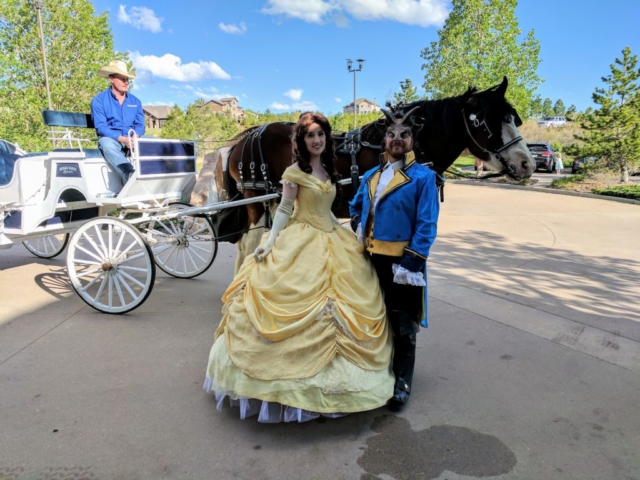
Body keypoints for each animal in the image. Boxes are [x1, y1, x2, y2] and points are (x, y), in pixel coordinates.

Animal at [216, 76, 535, 272]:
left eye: (512, 117)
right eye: (484, 122)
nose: (527, 163)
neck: (414, 142)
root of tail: (247, 135)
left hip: (274, 197)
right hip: (255, 197)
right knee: (249, 244)